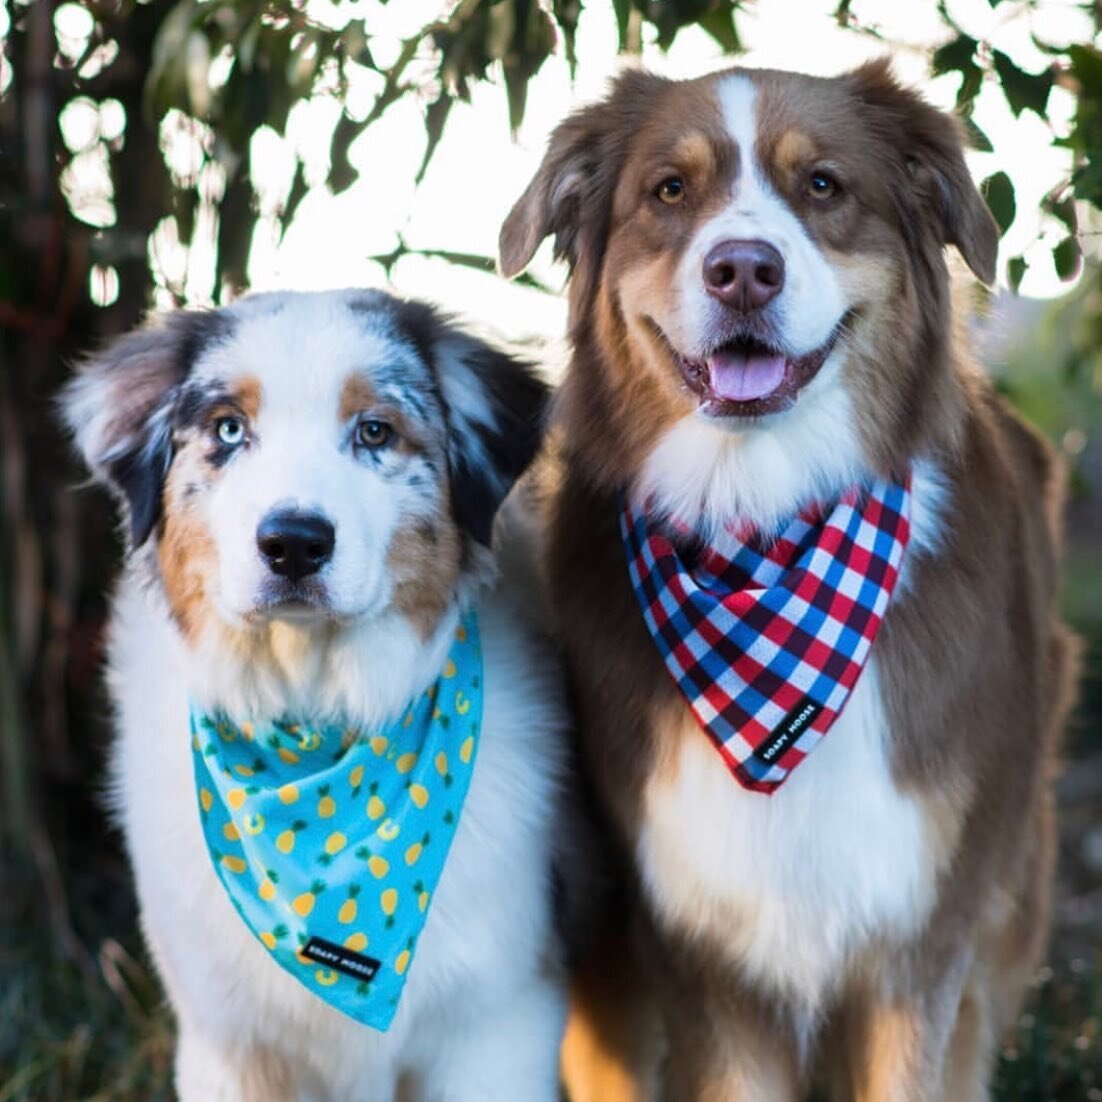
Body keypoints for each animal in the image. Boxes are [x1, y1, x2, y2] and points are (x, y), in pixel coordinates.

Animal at [502, 62, 1075, 1102]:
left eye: (823, 186)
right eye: (669, 191)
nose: (742, 270)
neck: (763, 533)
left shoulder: (918, 952)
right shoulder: (706, 961)